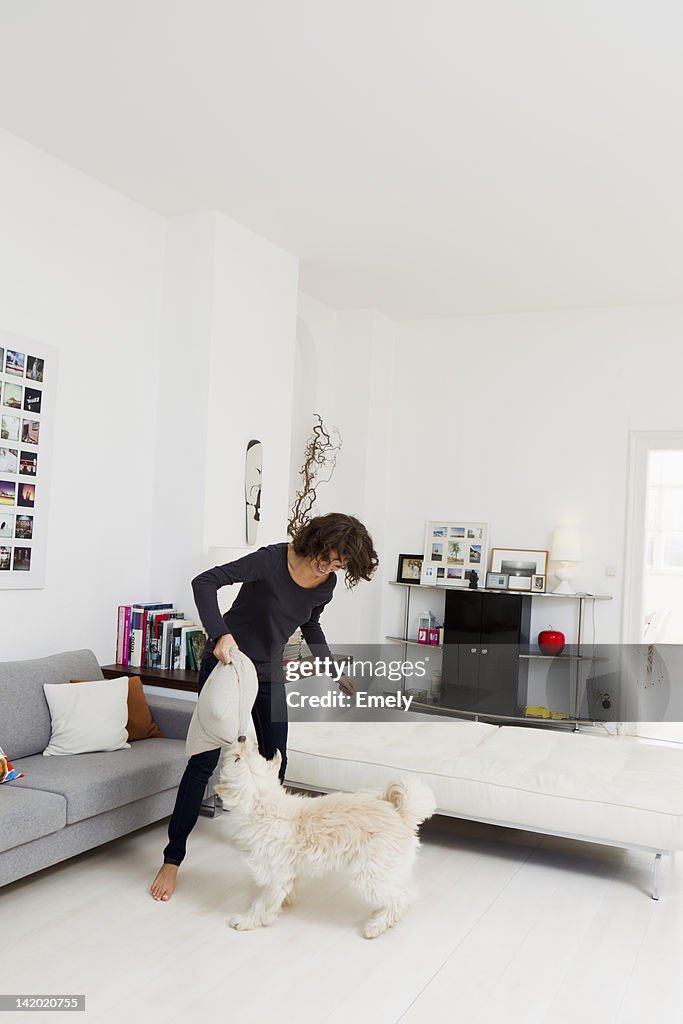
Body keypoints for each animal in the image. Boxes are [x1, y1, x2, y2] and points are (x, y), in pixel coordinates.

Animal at [216, 737, 436, 937]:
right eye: (252, 751)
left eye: (237, 758)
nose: (241, 737)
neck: (266, 807)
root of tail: (400, 814)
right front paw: (286, 901)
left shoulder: (274, 876)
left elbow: (262, 903)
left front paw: (247, 920)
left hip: (372, 875)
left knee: (402, 898)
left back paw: (376, 926)